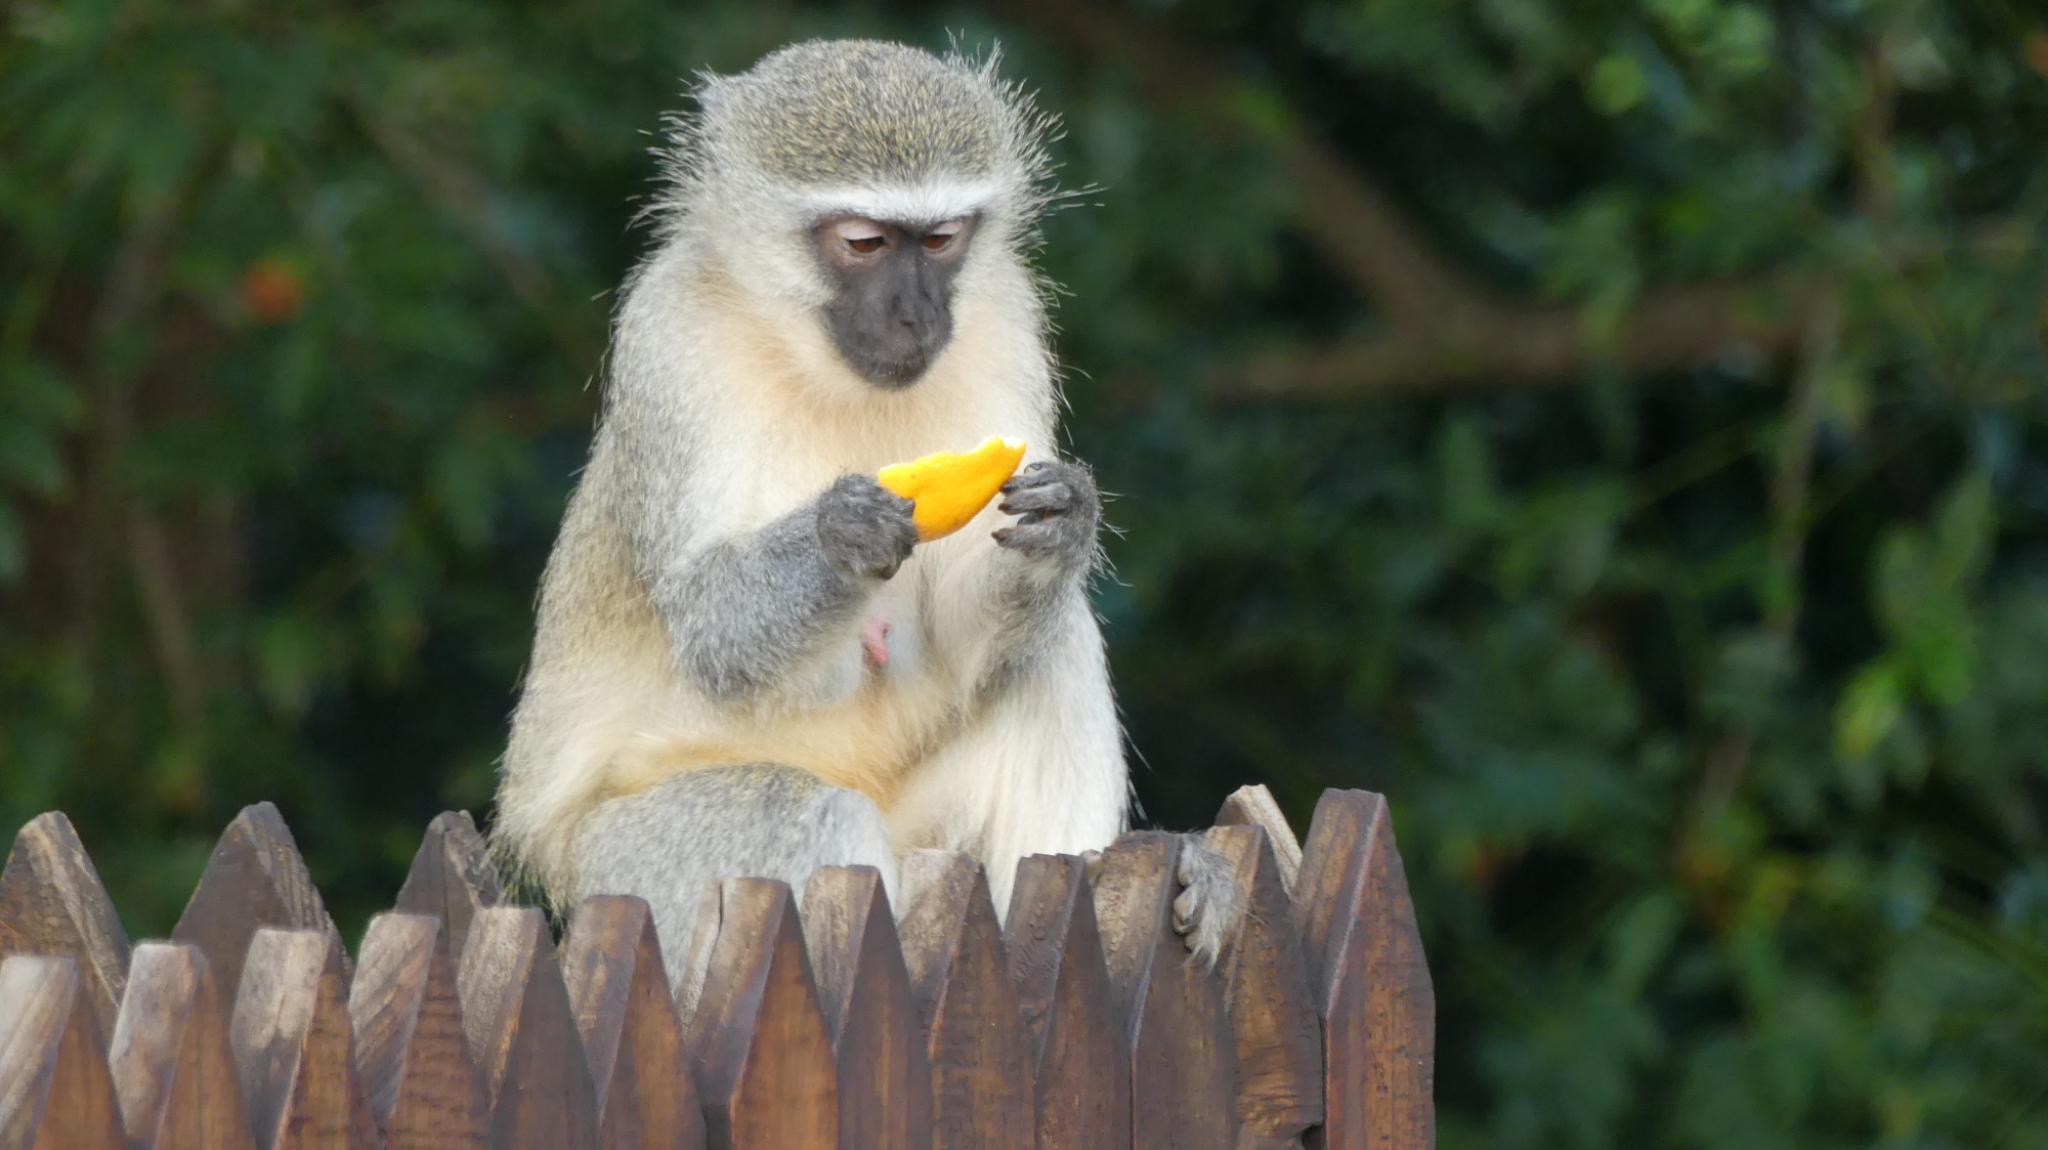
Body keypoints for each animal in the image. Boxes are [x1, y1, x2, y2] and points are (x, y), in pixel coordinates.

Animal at [492, 39, 1235, 978]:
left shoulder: (1006, 321)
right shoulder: (671, 332)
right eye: (864, 242)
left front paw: (1068, 522)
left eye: (942, 240)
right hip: (626, 872)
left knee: (1048, 651)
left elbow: (966, 633)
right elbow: (709, 632)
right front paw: (838, 536)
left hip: (927, 840)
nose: (916, 315)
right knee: (796, 811)